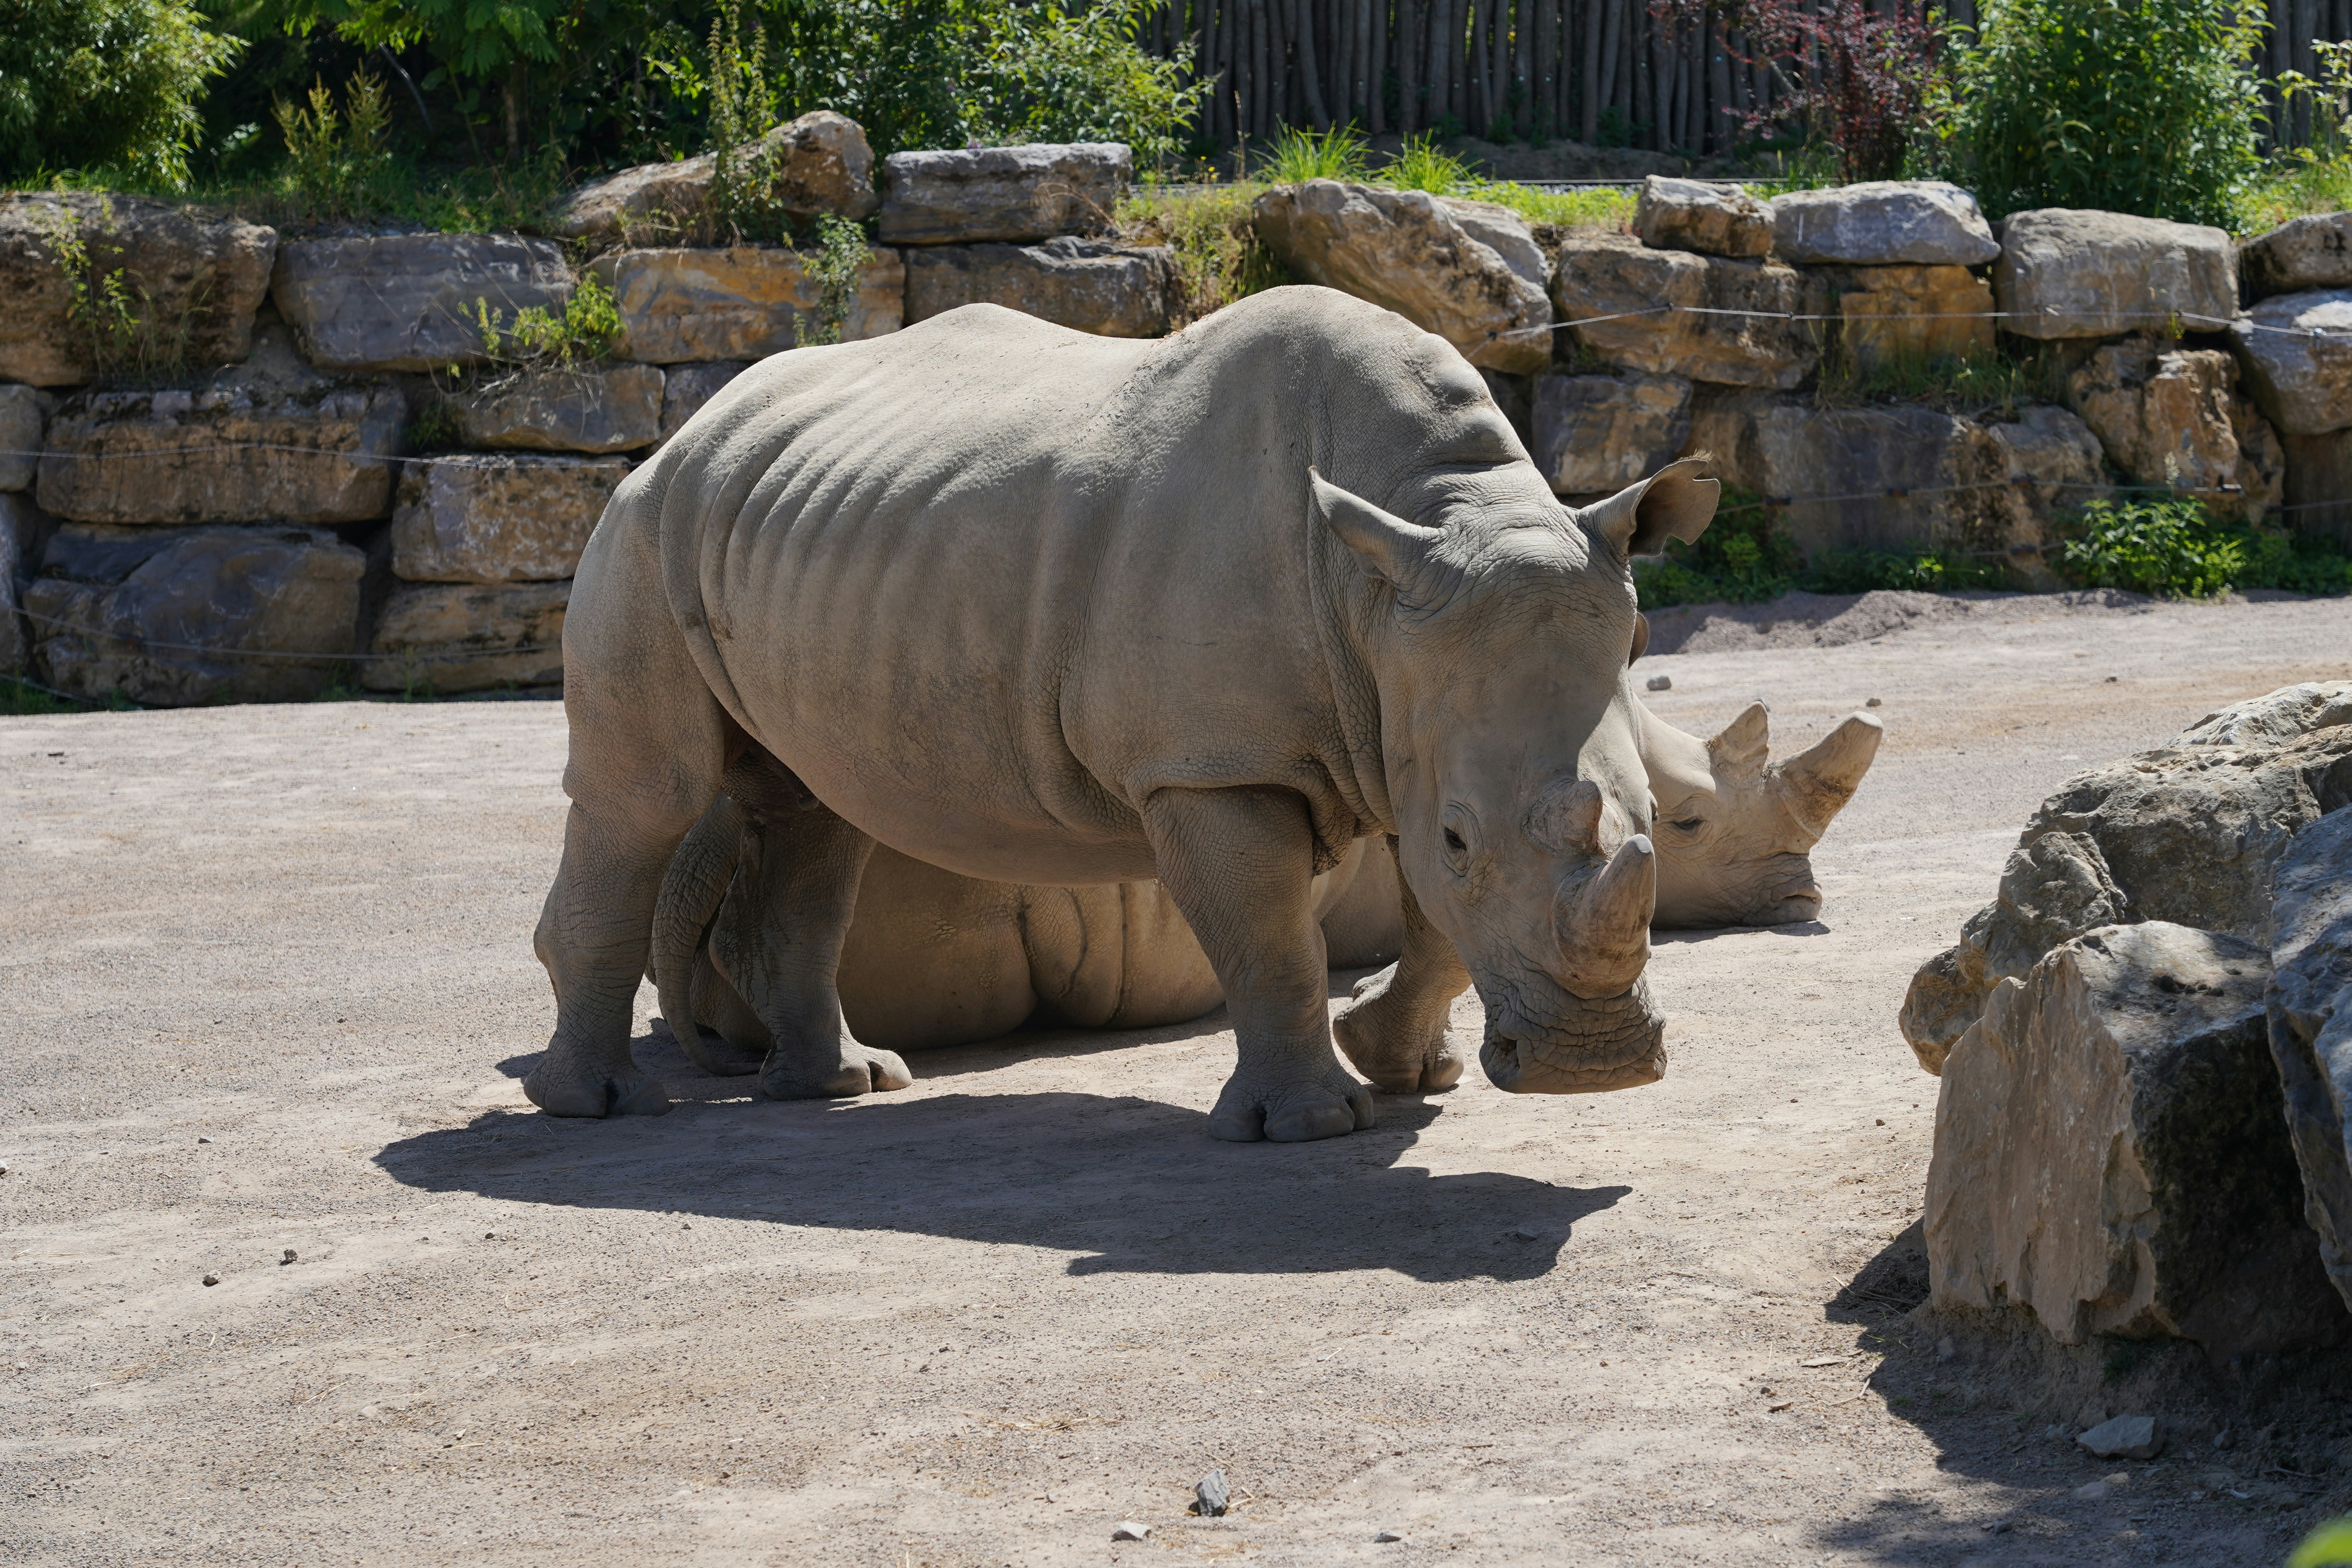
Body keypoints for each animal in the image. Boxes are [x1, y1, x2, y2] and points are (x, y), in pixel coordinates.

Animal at [526, 287, 1717, 1139]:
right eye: (1466, 837)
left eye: (1667, 818)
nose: (1595, 1069)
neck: (1426, 524)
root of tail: (692, 423)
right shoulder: (1212, 763)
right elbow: (1272, 933)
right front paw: (1312, 1124)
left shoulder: (1409, 717)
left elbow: (1438, 928)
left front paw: (1405, 1067)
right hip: (643, 529)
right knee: (649, 801)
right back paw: (598, 1110)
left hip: (800, 530)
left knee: (816, 808)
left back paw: (843, 1088)